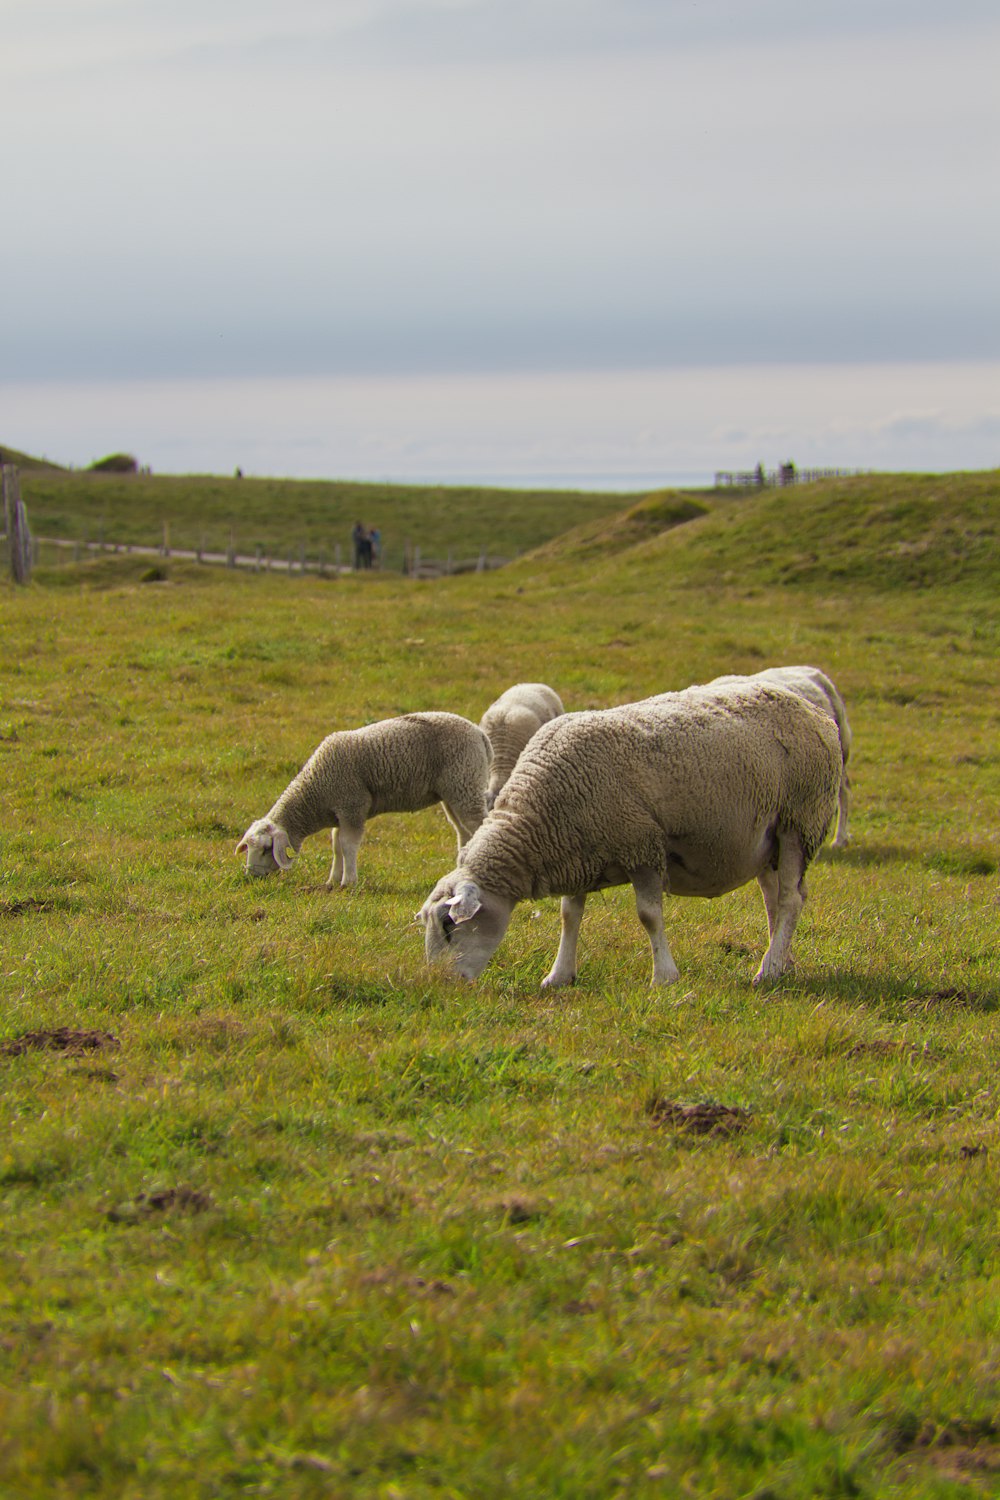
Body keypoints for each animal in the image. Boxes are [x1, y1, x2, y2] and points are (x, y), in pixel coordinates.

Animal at [239, 708, 497, 882]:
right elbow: (336, 845)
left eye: (266, 849)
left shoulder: (352, 805)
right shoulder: (340, 813)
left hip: (465, 782)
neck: (315, 790)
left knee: (479, 826)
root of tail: (480, 735)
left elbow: (348, 845)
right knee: (463, 831)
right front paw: (332, 880)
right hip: (455, 791)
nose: (251, 876)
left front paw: (348, 882)